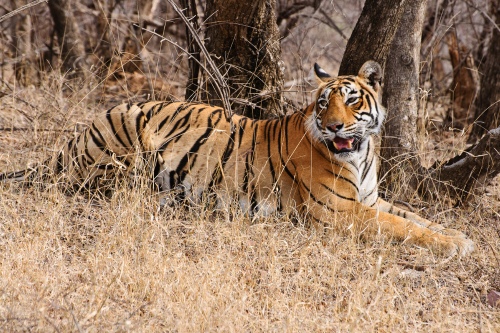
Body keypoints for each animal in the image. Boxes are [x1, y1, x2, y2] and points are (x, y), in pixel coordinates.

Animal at [0, 60, 472, 254]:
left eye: (352, 100)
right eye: (324, 104)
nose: (335, 127)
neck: (361, 153)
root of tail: (79, 135)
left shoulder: (370, 199)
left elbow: (415, 217)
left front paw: (459, 236)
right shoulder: (339, 210)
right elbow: (403, 227)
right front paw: (454, 245)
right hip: (123, 141)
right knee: (100, 186)